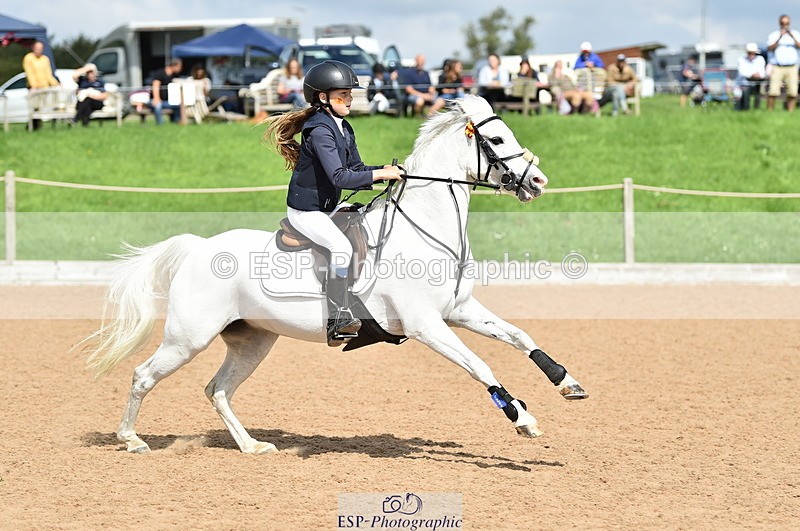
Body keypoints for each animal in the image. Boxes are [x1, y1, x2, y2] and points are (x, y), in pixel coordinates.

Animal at [84, 95, 588, 454]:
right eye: (497, 141)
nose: (539, 182)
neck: (423, 226)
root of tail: (197, 247)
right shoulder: (427, 325)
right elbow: (480, 364)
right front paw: (522, 419)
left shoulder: (460, 310)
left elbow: (520, 336)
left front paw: (567, 383)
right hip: (188, 338)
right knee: (144, 376)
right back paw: (131, 440)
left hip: (253, 341)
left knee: (218, 390)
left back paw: (252, 446)